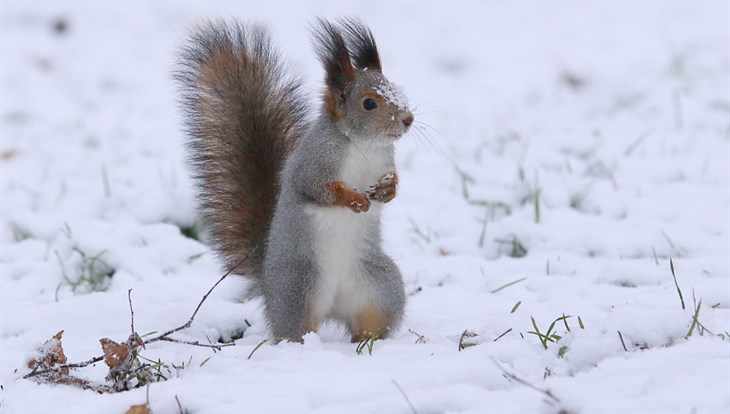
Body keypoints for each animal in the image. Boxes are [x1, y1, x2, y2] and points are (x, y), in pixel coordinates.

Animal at [174, 17, 412, 342]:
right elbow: (317, 189)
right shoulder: (312, 163)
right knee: (296, 327)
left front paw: (388, 190)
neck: (364, 145)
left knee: (371, 321)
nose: (408, 119)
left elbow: (393, 180)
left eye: (397, 90)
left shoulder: (385, 160)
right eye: (369, 104)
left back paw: (367, 341)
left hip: (380, 288)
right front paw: (354, 199)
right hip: (298, 289)